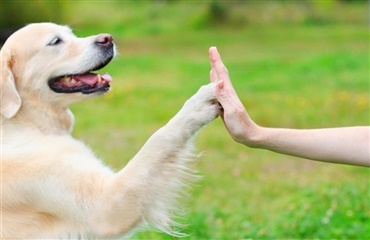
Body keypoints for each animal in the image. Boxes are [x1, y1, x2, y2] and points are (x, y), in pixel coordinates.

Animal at [0, 22, 220, 238]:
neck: (26, 122)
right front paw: (199, 103)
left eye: (71, 34)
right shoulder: (106, 205)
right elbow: (159, 139)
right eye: (55, 41)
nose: (108, 39)